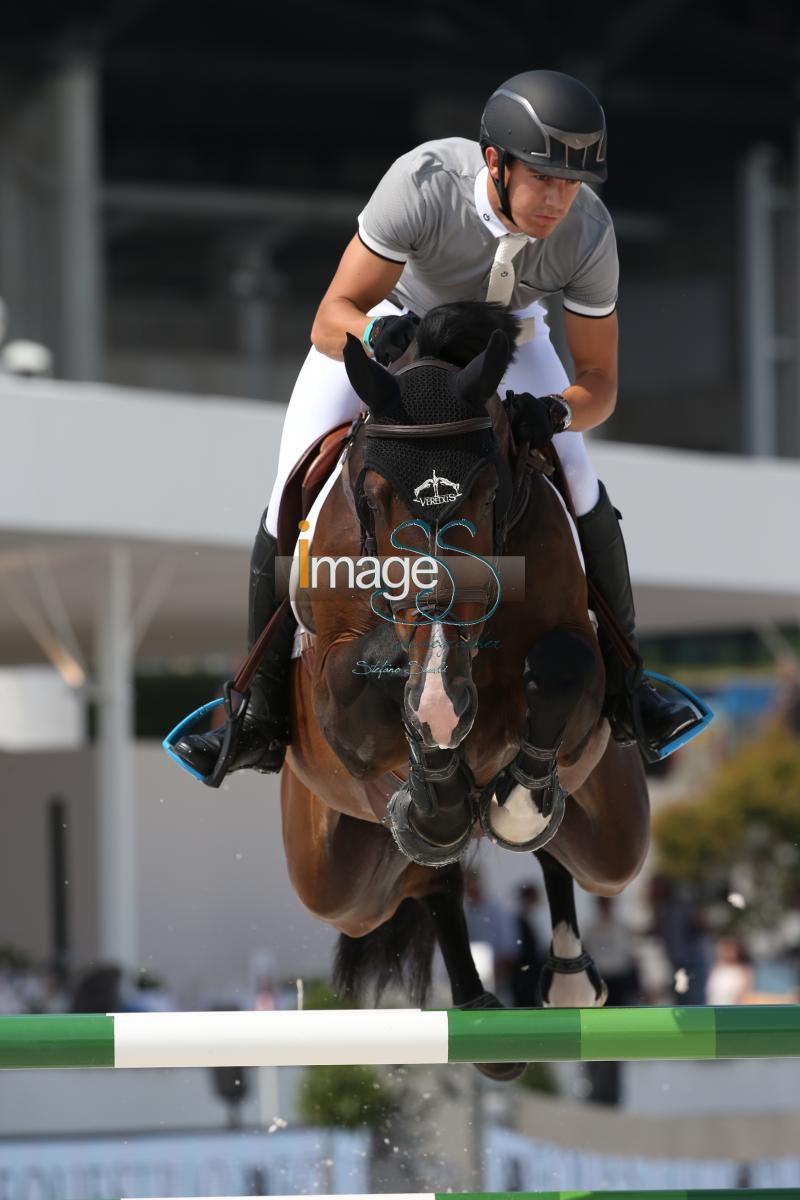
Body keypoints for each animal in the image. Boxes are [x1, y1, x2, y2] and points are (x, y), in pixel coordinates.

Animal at [281, 297, 652, 1080]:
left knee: (562, 851)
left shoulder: (577, 669)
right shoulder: (335, 698)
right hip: (333, 878)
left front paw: (506, 796)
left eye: (487, 494)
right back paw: (478, 1001)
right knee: (429, 881)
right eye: (372, 496)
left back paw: (565, 970)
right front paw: (440, 768)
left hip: (614, 826)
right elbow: (376, 691)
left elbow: (562, 666)